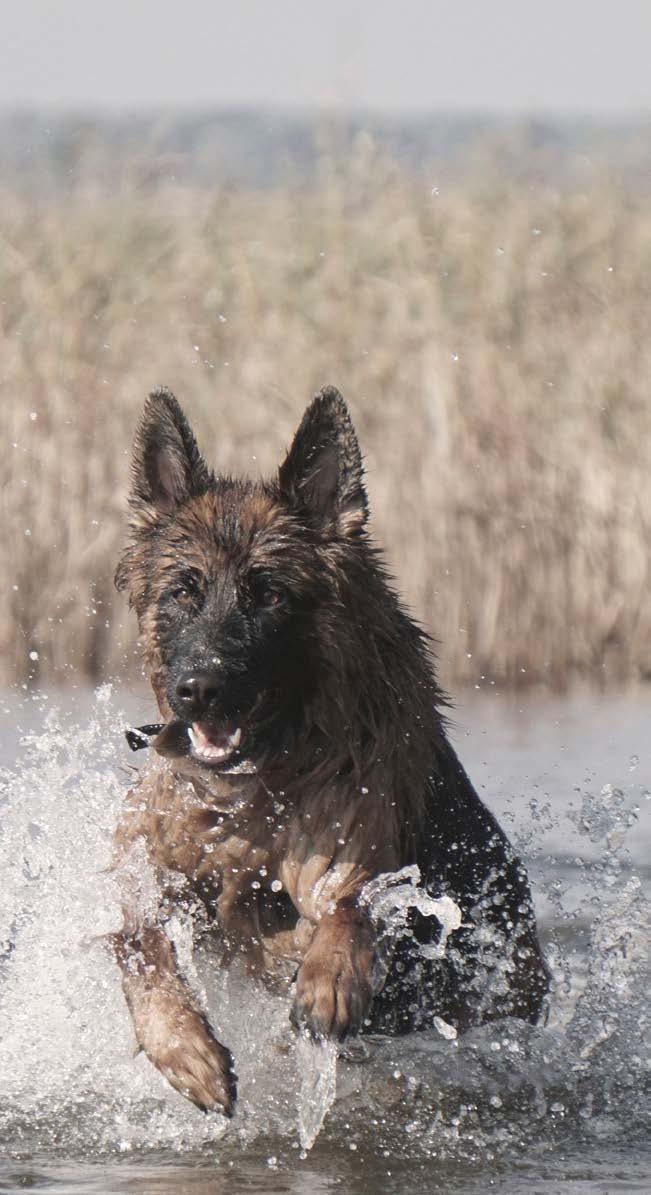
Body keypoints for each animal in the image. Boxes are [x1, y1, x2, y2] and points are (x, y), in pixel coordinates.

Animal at [112, 387, 549, 1113]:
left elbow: (350, 906)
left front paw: (328, 983)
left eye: (268, 592)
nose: (198, 689)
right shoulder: (156, 866)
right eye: (183, 590)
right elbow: (135, 940)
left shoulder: (349, 845)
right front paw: (185, 1049)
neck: (256, 789)